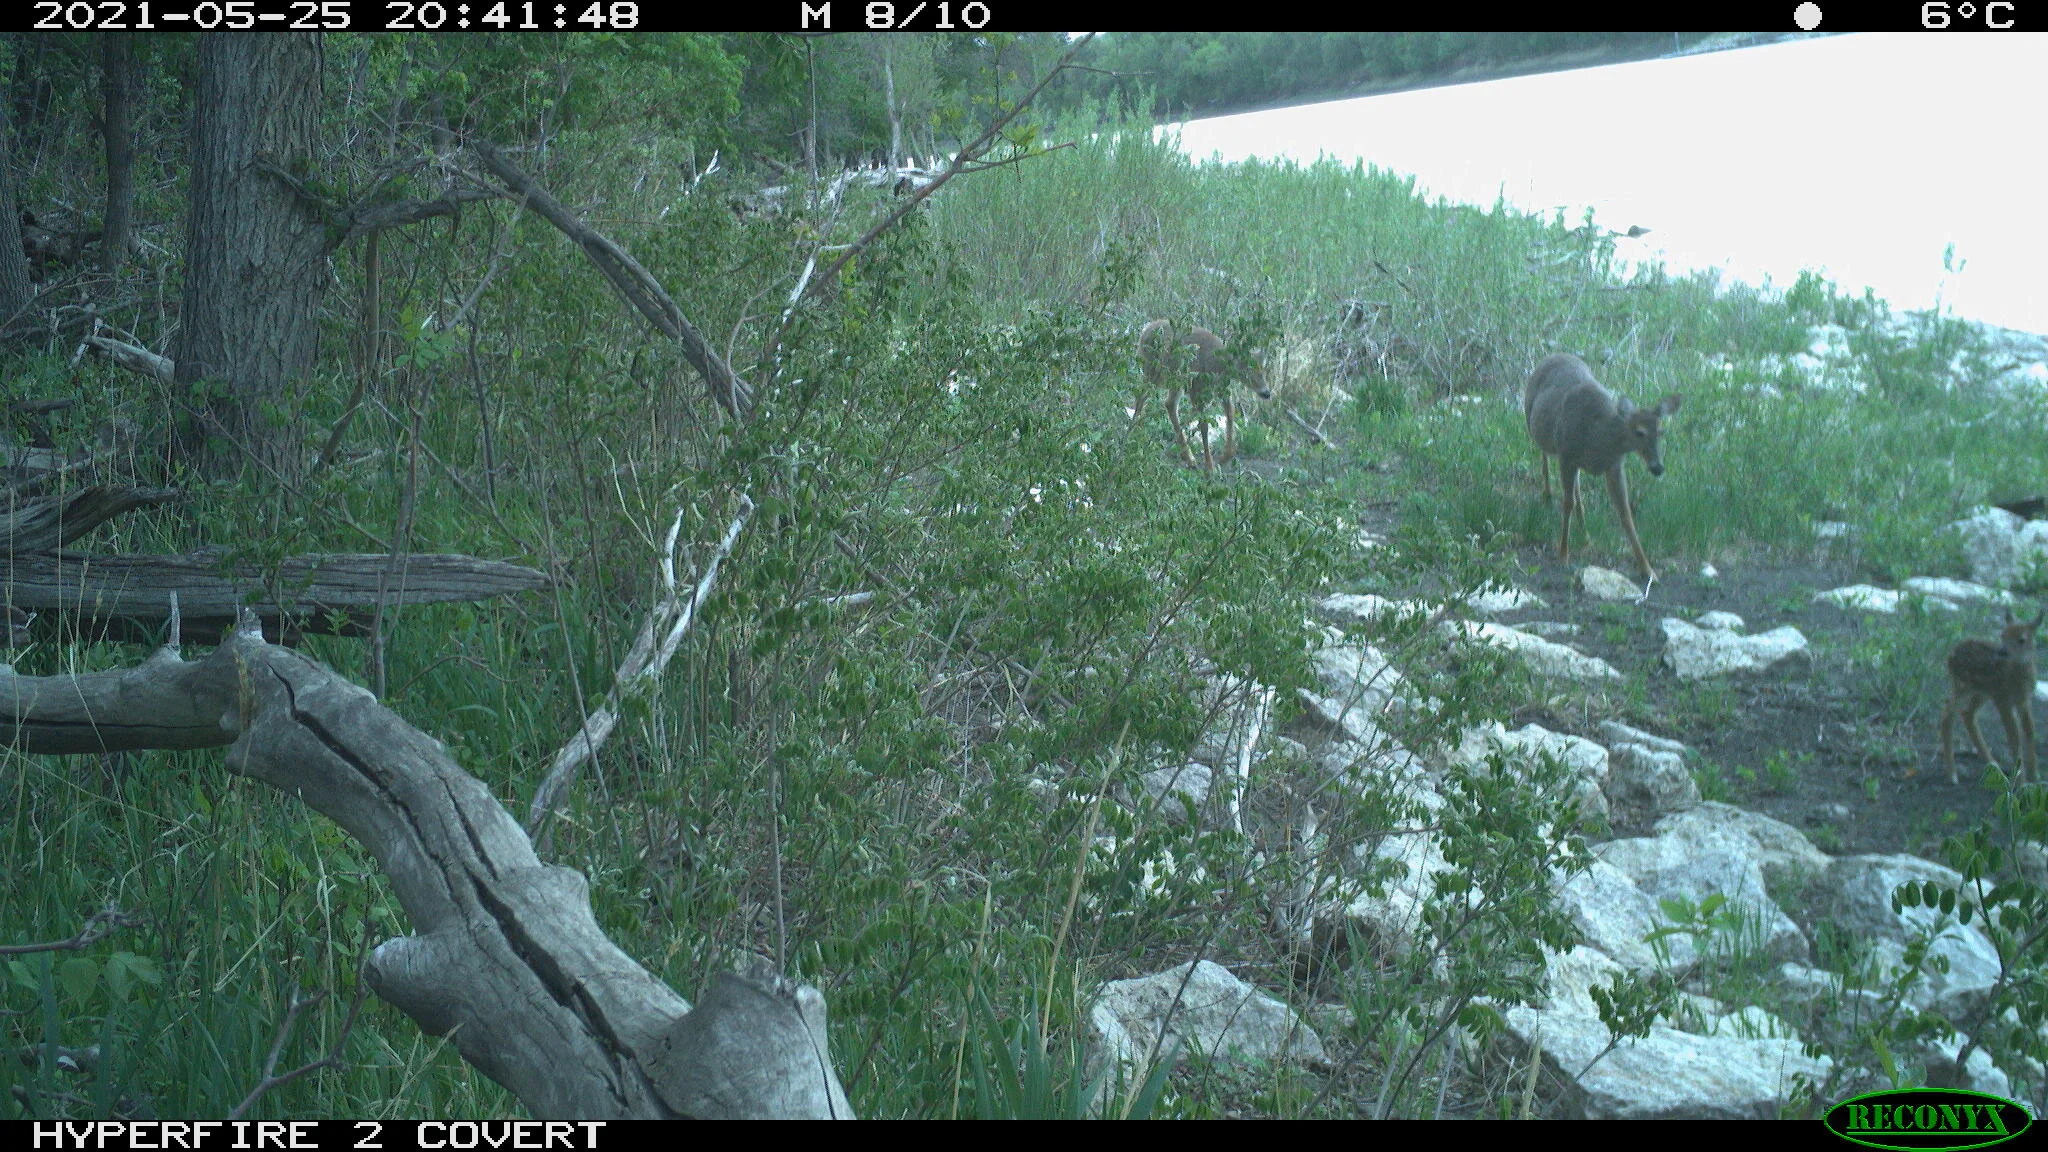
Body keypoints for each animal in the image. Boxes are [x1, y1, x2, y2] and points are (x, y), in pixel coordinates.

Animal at [1134, 320, 1271, 473]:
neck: (1219, 365)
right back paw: (1134, 433)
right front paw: (1210, 466)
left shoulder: (1220, 389)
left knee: (1169, 404)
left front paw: (1226, 456)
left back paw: (1188, 458)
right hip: (1154, 370)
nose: (1266, 393)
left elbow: (1230, 413)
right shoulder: (1197, 389)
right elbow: (1204, 425)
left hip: (1176, 380)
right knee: (1142, 395)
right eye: (1247, 370)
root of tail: (1145, 330)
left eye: (1264, 370)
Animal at [1522, 353, 1683, 582]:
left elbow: (1625, 514)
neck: (1600, 438)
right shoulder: (1567, 455)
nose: (1657, 467)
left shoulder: (1614, 466)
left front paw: (1648, 569)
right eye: (1639, 432)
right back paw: (1547, 495)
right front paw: (1563, 555)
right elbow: (1567, 504)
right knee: (1544, 456)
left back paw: (1585, 531)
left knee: (1577, 486)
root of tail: (1554, 355)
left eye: (1661, 431)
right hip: (1536, 426)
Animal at [1941, 604, 2044, 784]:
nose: (2002, 651)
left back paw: (1992, 763)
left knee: (1967, 714)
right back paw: (1952, 775)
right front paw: (2021, 782)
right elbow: (2014, 737)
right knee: (1948, 715)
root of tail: (1951, 654)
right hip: (1963, 686)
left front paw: (2035, 775)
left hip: (1982, 692)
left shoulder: (2023, 700)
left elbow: (2029, 731)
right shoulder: (2003, 699)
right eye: (2002, 634)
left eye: (2022, 639)